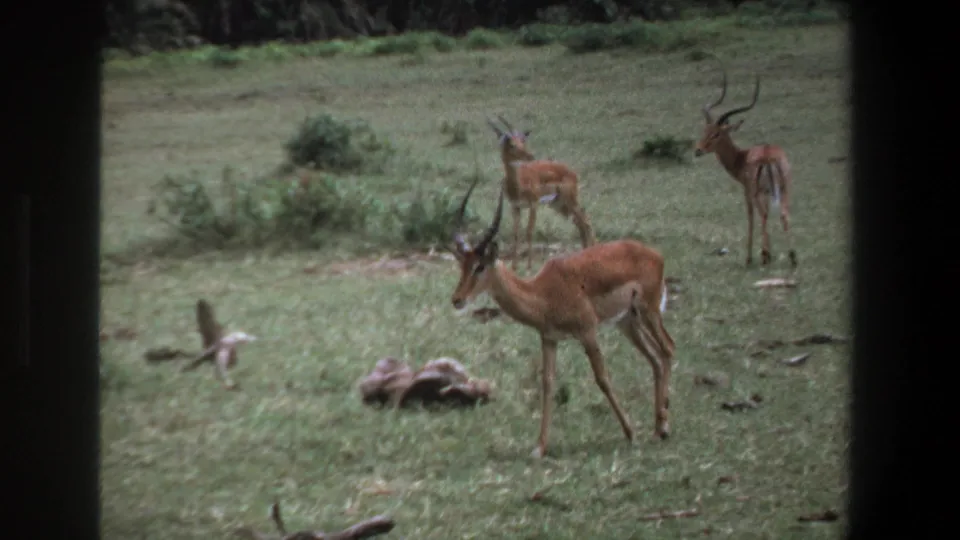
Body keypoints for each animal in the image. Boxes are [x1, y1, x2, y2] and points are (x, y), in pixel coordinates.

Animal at [448, 176, 675, 459]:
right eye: (462, 265)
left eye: (480, 266)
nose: (457, 299)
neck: (543, 293)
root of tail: (655, 254)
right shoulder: (549, 339)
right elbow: (547, 384)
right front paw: (539, 447)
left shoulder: (587, 332)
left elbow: (602, 378)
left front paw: (630, 433)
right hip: (628, 322)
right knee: (655, 359)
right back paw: (657, 428)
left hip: (649, 312)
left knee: (668, 349)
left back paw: (663, 427)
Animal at [485, 115, 596, 273]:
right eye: (512, 144)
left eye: (523, 141)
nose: (530, 155)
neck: (518, 184)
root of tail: (572, 172)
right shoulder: (515, 207)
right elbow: (516, 233)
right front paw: (514, 266)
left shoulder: (534, 204)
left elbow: (529, 231)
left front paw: (529, 266)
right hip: (558, 204)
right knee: (579, 221)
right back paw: (583, 253)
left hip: (569, 200)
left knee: (585, 219)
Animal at [694, 55, 797, 268]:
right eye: (705, 130)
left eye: (716, 134)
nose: (698, 149)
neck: (741, 158)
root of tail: (769, 156)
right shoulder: (766, 193)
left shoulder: (748, 191)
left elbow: (750, 218)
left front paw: (751, 257)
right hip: (784, 188)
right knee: (783, 213)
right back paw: (792, 257)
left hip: (758, 191)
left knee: (763, 215)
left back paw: (764, 257)